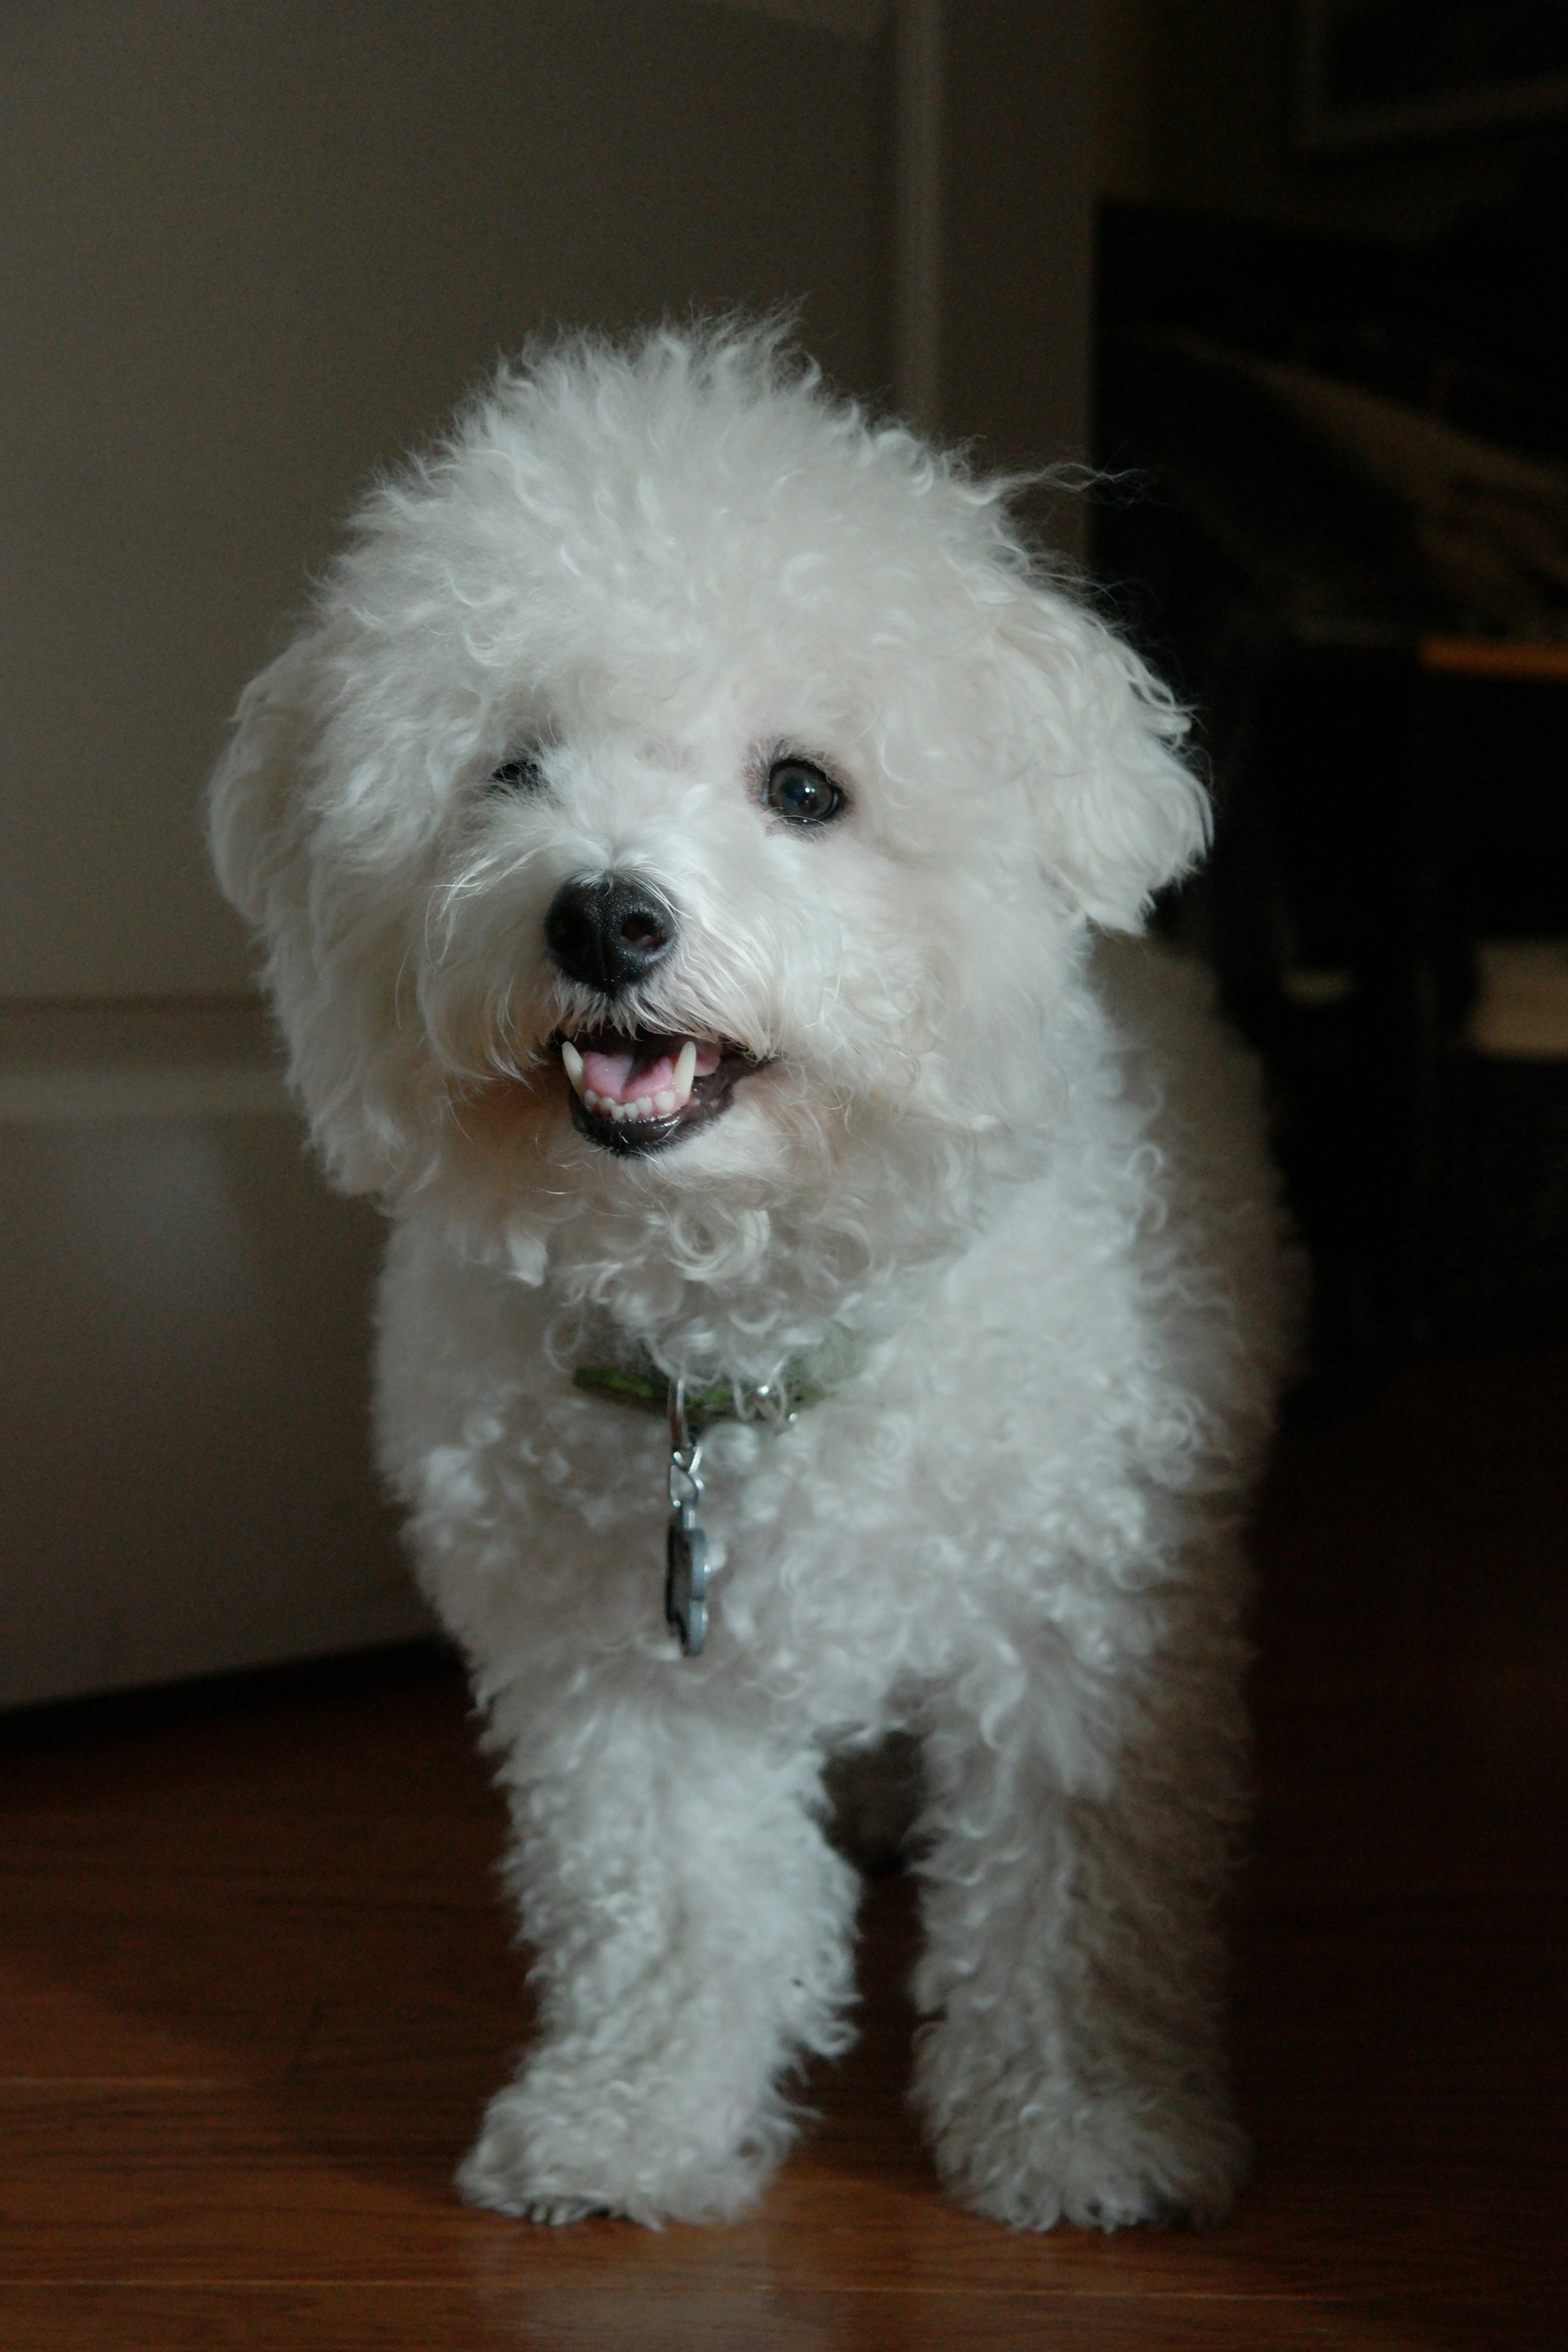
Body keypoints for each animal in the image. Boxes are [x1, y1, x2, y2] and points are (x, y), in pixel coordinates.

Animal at [208, 322, 1288, 2230]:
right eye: (507, 769)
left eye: (805, 789)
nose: (605, 916)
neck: (741, 1326)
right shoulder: (623, 1675)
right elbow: (671, 1909)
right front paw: (634, 2123)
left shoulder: (1078, 1636)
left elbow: (1072, 1902)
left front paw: (1087, 2130)